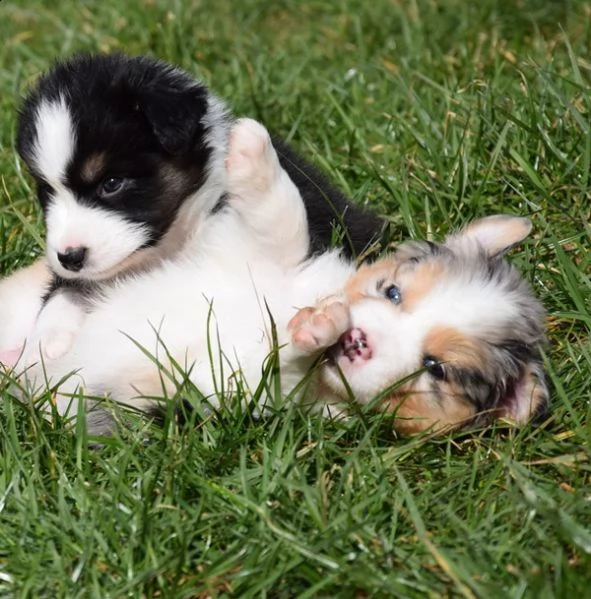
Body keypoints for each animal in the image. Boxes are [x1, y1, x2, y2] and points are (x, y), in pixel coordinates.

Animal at [0, 54, 382, 368]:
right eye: (46, 191)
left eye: (111, 182)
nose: (70, 257)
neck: (174, 241)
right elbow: (62, 291)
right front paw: (44, 342)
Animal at [19, 118, 552, 436]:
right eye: (392, 292)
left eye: (435, 369)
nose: (358, 339)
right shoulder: (250, 254)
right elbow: (282, 220)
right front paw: (251, 145)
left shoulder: (238, 387)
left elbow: (280, 364)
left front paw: (316, 327)